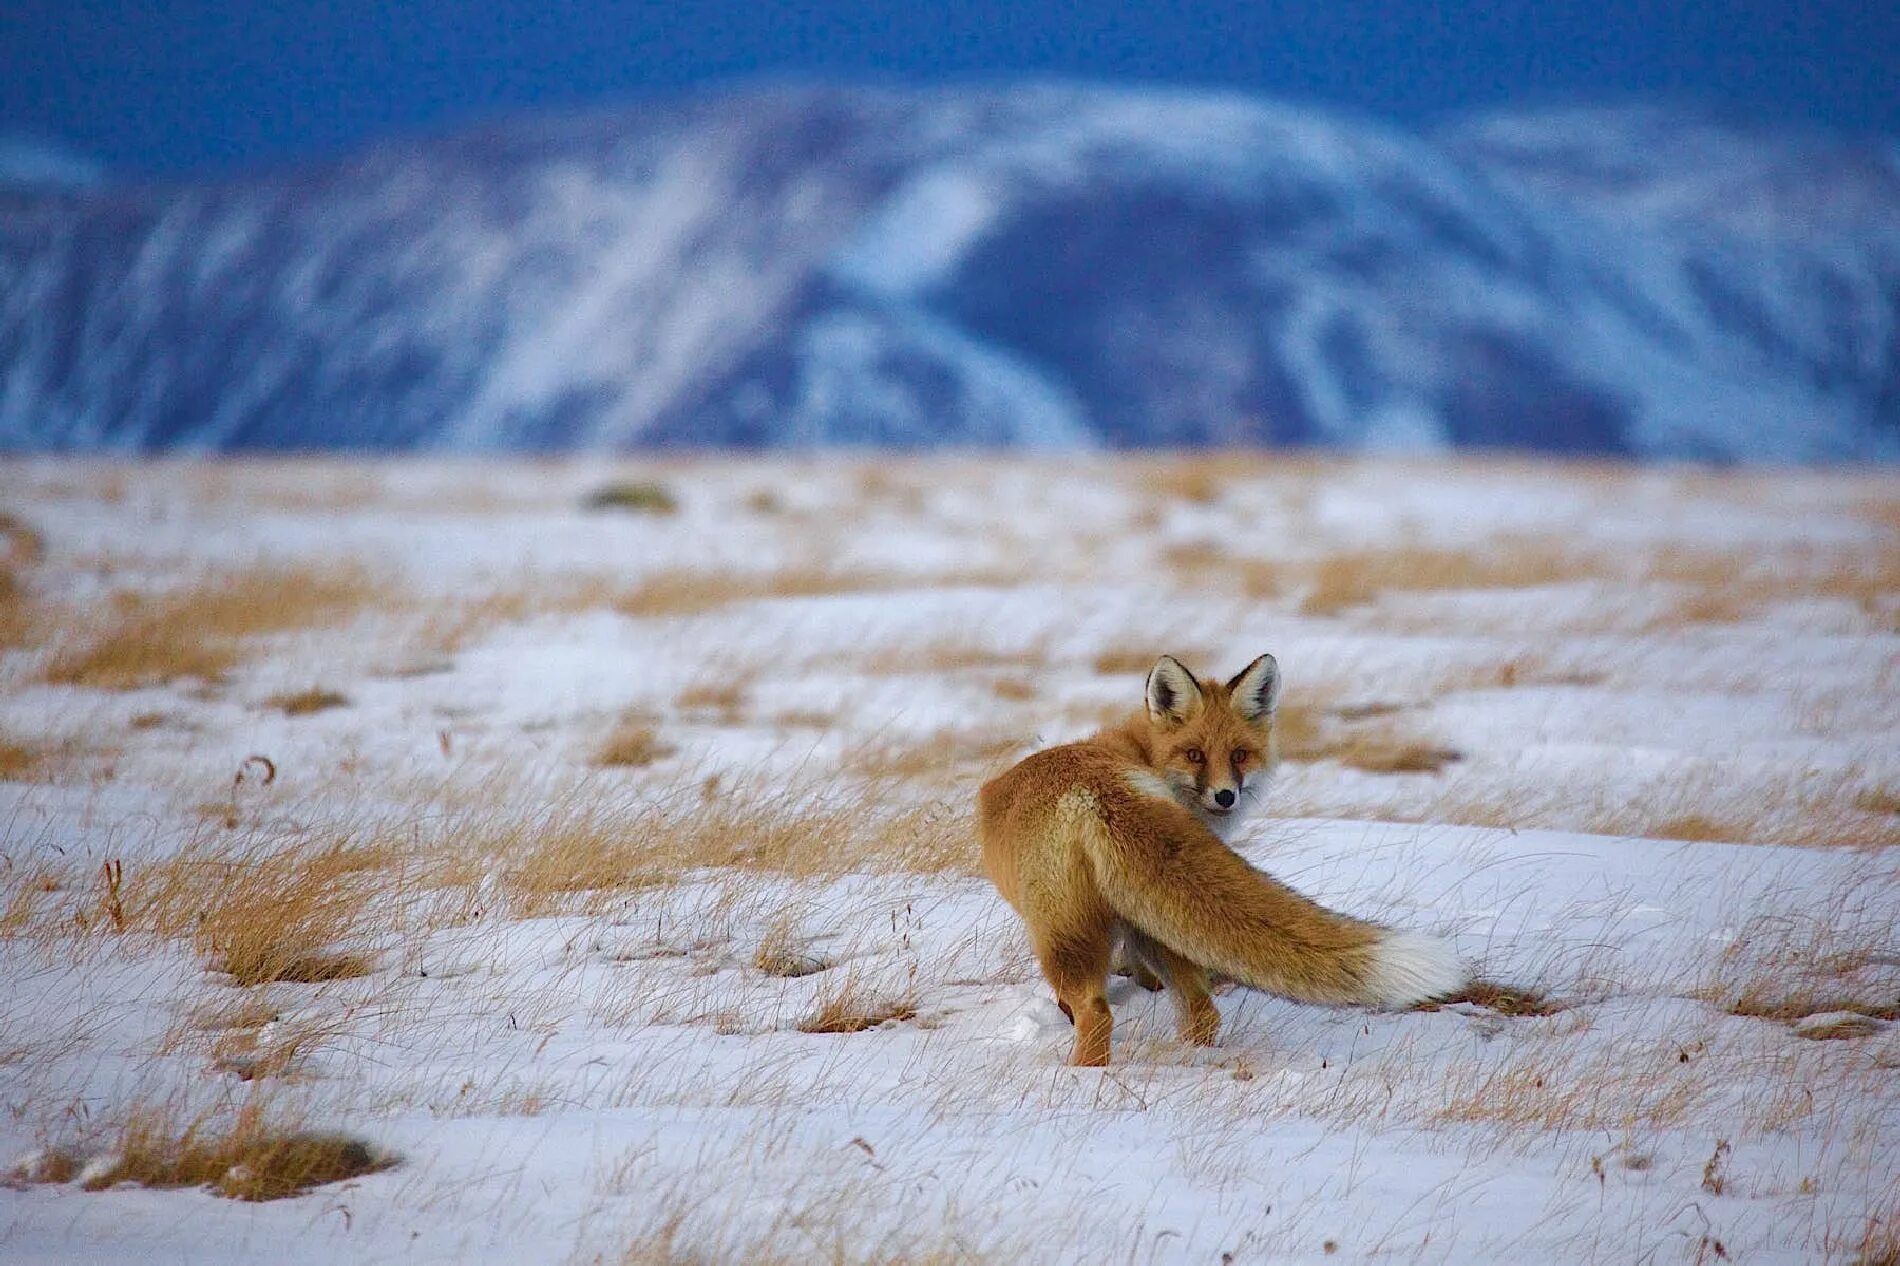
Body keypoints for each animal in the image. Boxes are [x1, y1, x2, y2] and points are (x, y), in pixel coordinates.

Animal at [972, 653, 1459, 1056]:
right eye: (1195, 754)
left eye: (1239, 754)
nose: (1226, 796)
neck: (1137, 752)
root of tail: (1101, 791)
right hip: (1155, 925)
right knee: (1203, 1012)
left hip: (1064, 936)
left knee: (1097, 1014)